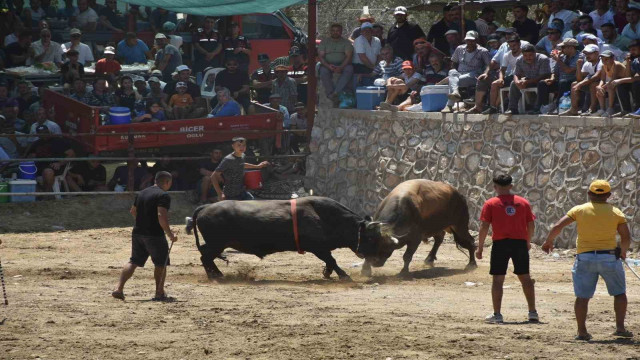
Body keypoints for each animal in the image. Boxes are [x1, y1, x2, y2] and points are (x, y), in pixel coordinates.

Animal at [189, 195, 370, 280]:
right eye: (370, 236)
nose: (372, 258)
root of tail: (206, 207)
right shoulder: (318, 248)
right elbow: (332, 260)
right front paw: (344, 276)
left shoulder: (322, 249)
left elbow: (330, 261)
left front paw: (327, 273)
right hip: (217, 244)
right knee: (205, 257)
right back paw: (215, 276)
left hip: (216, 244)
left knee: (205, 256)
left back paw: (217, 274)